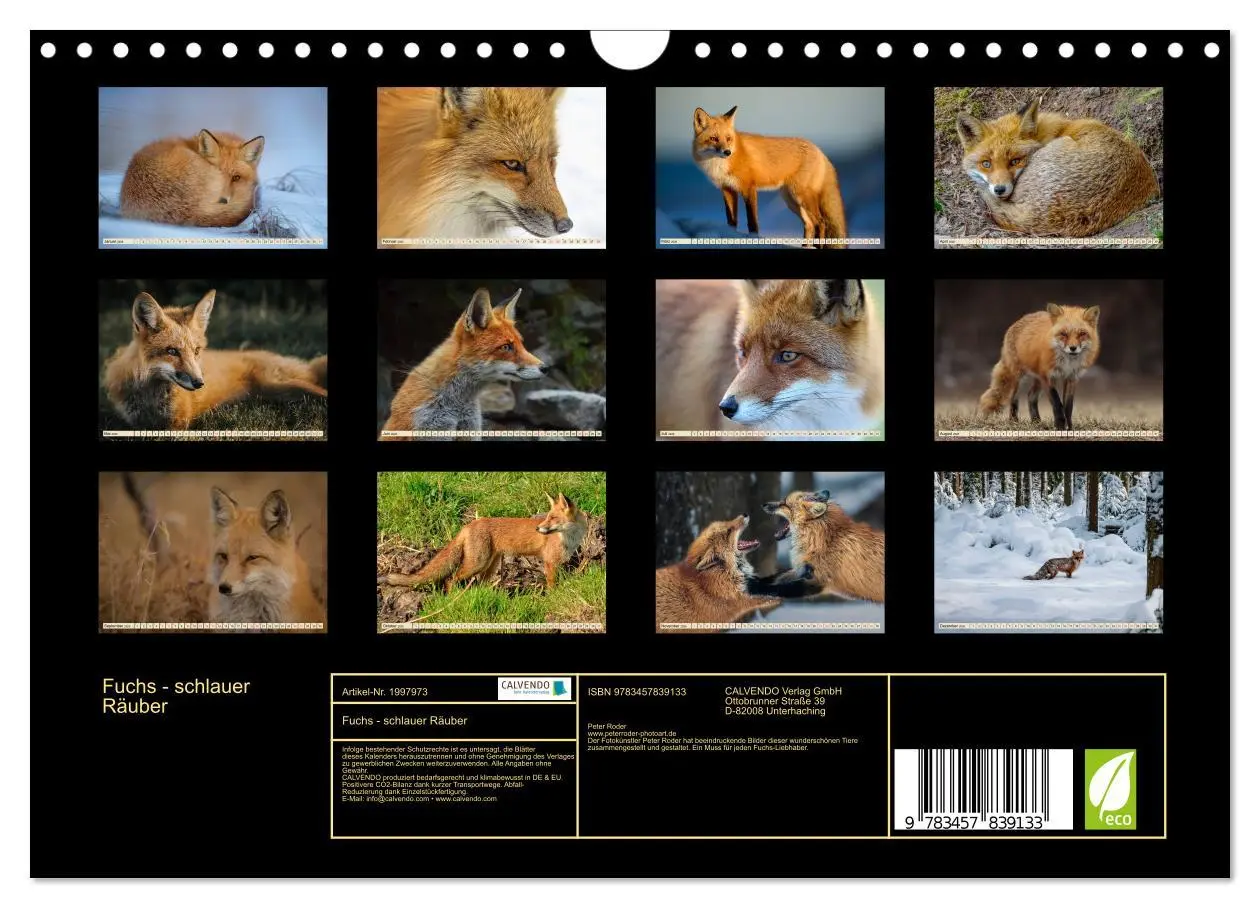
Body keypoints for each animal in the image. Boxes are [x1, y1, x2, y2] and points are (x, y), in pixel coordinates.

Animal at [103, 290, 328, 431]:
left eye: (196, 351)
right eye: (172, 351)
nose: (199, 383)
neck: (150, 396)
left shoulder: (178, 423)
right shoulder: (133, 422)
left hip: (282, 385)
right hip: (280, 392)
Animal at [379, 493, 588, 591]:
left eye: (552, 518)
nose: (538, 529)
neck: (569, 537)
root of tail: (471, 523)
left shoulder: (559, 562)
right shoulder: (550, 562)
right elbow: (552, 586)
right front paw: (551, 598)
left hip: (490, 565)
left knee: (479, 584)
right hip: (477, 563)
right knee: (450, 579)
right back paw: (452, 598)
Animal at [655, 515, 814, 632]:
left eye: (727, 523)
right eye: (728, 531)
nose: (744, 514)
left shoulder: (751, 583)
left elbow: (777, 578)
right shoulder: (744, 598)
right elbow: (776, 591)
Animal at [692, 105, 846, 247]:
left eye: (728, 139)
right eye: (714, 138)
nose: (727, 152)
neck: (719, 165)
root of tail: (819, 150)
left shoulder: (749, 188)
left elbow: (752, 221)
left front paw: (754, 239)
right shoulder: (727, 189)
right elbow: (731, 220)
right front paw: (729, 237)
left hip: (801, 196)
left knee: (821, 222)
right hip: (792, 201)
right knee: (810, 224)